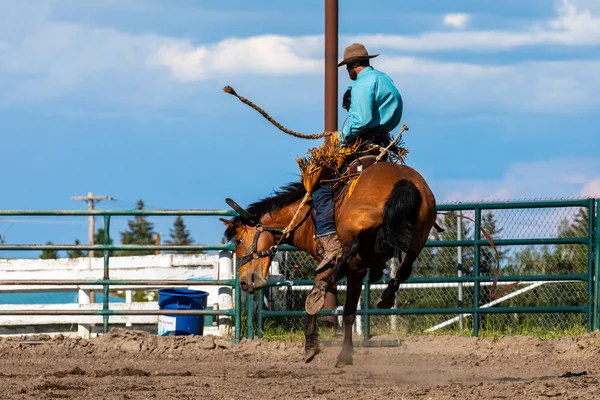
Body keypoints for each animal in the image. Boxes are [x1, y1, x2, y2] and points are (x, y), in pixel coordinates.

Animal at [220, 161, 436, 368]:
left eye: (238, 240)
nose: (244, 282)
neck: (304, 219)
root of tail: (402, 179)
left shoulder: (329, 267)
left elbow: (313, 303)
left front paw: (311, 346)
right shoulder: (357, 272)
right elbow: (348, 313)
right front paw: (345, 355)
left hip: (355, 225)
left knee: (351, 249)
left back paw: (328, 283)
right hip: (418, 235)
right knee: (406, 265)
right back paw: (387, 295)